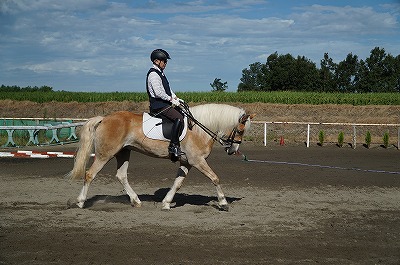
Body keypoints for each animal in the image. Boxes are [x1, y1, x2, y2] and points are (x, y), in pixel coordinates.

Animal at [67, 103, 255, 210]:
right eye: (240, 130)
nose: (233, 150)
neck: (199, 129)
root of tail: (104, 118)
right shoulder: (197, 160)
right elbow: (215, 178)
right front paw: (223, 203)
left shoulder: (187, 162)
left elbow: (178, 183)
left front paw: (166, 202)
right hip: (105, 154)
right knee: (90, 174)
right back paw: (80, 202)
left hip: (123, 152)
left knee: (121, 175)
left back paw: (136, 201)